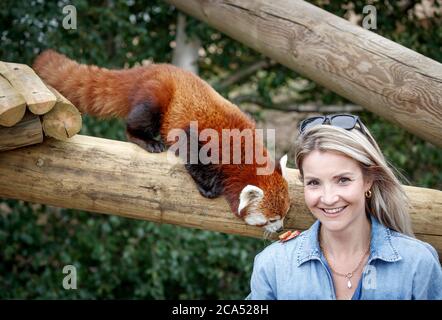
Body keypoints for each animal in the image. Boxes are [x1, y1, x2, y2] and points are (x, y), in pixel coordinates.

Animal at [33, 50, 290, 235]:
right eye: (272, 219)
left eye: (286, 213)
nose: (280, 229)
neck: (242, 154)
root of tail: (150, 68)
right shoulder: (199, 137)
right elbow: (193, 157)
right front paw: (208, 188)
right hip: (157, 96)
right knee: (139, 120)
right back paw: (146, 140)